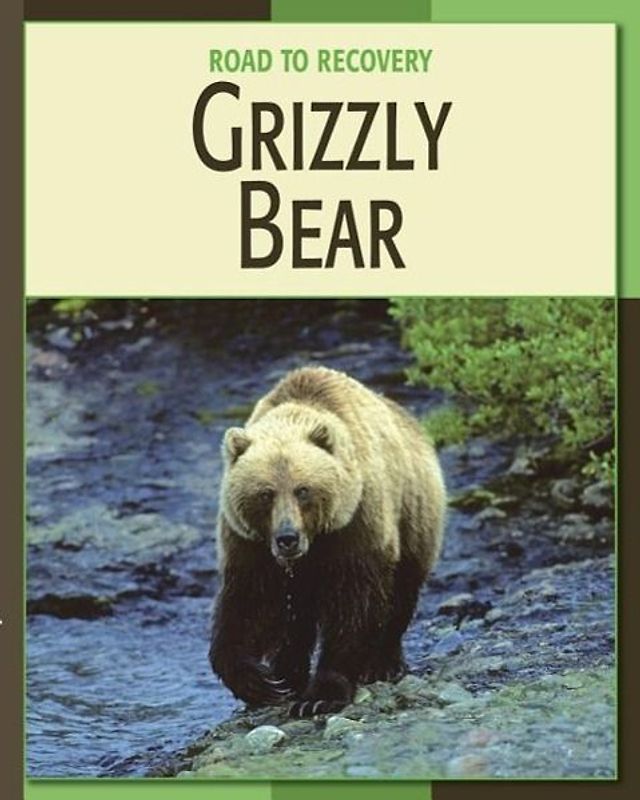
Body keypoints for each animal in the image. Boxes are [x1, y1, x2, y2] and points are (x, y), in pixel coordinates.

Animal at [209, 365, 446, 717]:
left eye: (303, 490)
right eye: (265, 493)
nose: (287, 538)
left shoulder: (355, 525)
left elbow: (354, 605)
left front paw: (321, 694)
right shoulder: (248, 544)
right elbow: (247, 605)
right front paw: (259, 682)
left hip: (414, 512)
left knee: (402, 590)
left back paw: (382, 663)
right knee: (297, 619)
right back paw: (287, 673)